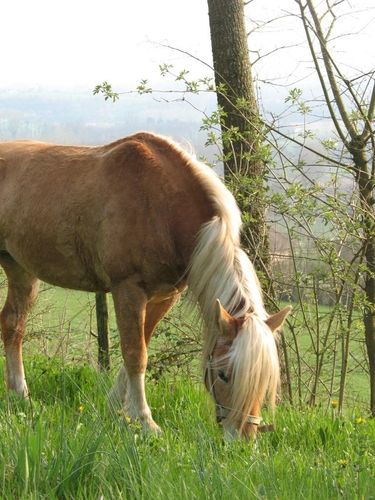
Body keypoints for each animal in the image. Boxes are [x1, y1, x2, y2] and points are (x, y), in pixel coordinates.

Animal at [0, 132, 290, 438]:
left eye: (265, 379)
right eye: (223, 374)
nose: (243, 438)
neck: (162, 204)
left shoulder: (163, 296)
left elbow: (141, 345)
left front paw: (115, 408)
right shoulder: (127, 289)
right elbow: (135, 353)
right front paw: (144, 420)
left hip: (20, 270)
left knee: (12, 324)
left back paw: (20, 395)